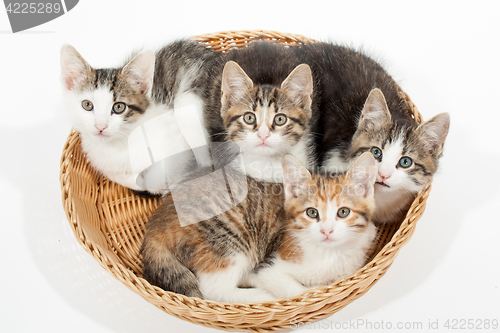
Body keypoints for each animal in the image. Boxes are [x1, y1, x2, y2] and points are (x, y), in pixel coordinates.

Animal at [60, 40, 221, 193]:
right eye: (87, 105)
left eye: (119, 107)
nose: (100, 126)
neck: (118, 145)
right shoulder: (99, 159)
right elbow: (118, 176)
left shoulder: (176, 141)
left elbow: (156, 179)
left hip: (186, 101)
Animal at [141, 152, 376, 302]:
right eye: (312, 212)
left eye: (343, 212)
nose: (326, 231)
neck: (329, 254)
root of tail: (154, 227)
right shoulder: (268, 265)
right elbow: (295, 290)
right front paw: (308, 290)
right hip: (230, 238)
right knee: (214, 290)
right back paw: (263, 296)